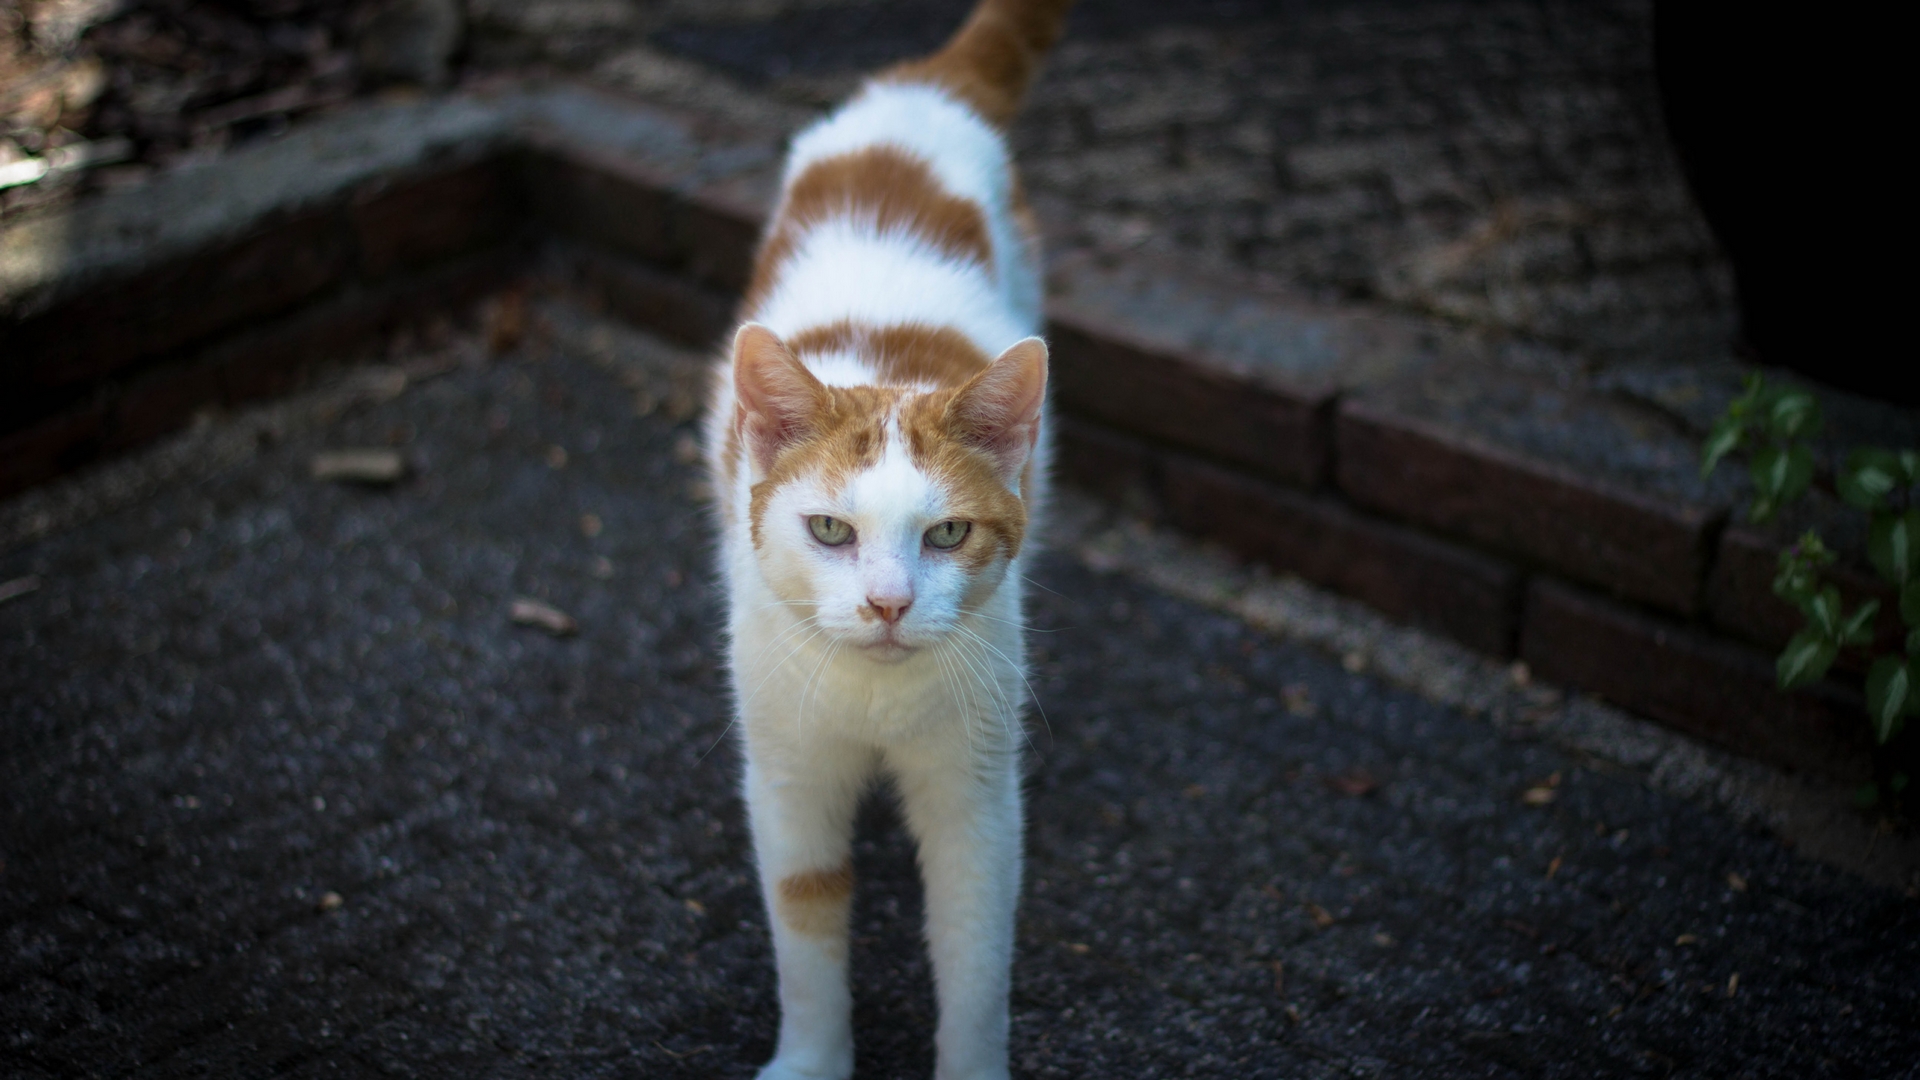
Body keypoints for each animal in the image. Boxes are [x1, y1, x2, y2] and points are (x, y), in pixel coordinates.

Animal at [702, 4, 1075, 1068]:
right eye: (829, 529)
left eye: (947, 532)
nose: (888, 603)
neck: (874, 700)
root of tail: (918, 89)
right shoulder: (786, 771)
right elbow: (804, 921)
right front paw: (810, 1063)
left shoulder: (975, 791)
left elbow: (975, 953)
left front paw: (973, 1065)